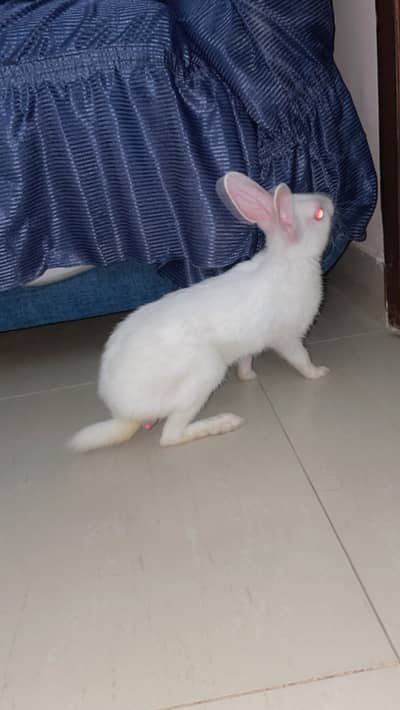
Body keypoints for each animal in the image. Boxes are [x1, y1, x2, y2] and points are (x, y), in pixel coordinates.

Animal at [69, 172, 333, 451]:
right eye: (318, 214)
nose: (330, 200)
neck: (289, 260)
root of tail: (123, 412)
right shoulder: (287, 337)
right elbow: (301, 358)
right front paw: (318, 373)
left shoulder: (249, 344)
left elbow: (245, 360)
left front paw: (249, 377)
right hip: (205, 374)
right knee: (170, 436)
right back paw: (224, 422)